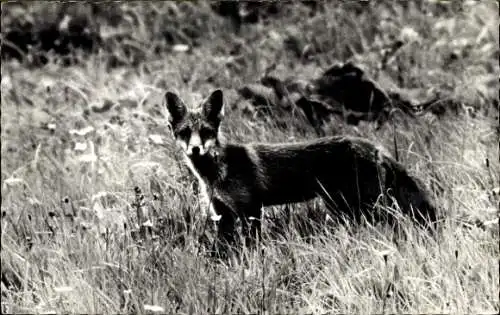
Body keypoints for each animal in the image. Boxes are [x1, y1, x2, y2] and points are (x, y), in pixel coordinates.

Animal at [165, 89, 438, 254]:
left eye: (207, 132)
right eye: (185, 133)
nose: (196, 149)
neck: (216, 176)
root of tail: (373, 146)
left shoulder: (251, 209)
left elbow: (252, 244)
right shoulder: (223, 214)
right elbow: (224, 248)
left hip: (365, 205)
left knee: (396, 220)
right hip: (347, 207)